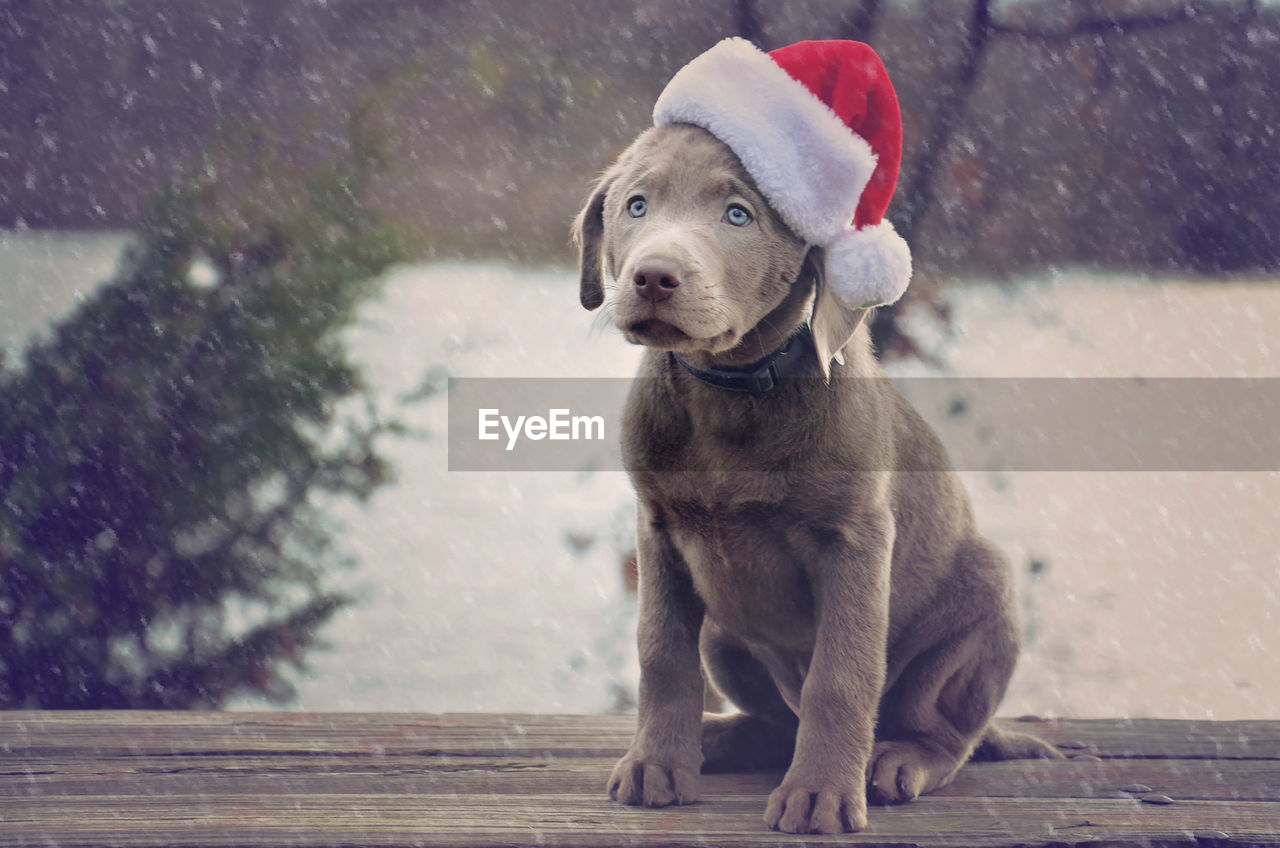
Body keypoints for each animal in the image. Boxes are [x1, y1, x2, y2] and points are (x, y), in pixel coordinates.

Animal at [578, 41, 1059, 835]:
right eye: (635, 207)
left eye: (738, 214)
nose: (653, 276)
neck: (732, 391)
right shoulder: (660, 532)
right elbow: (660, 653)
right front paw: (657, 766)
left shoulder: (856, 540)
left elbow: (843, 673)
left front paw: (822, 794)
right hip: (724, 629)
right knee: (776, 722)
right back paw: (718, 740)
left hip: (982, 600)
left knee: (937, 729)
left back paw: (894, 761)